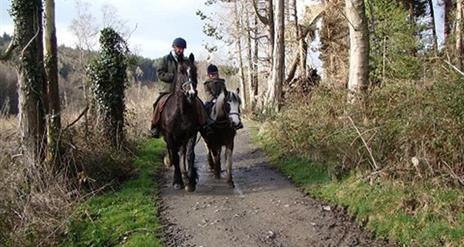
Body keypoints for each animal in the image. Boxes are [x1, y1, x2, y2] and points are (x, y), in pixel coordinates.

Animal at [158, 54, 199, 192]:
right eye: (181, 71)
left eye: (195, 71)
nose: (191, 94)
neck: (181, 110)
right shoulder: (170, 135)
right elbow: (175, 156)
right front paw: (177, 181)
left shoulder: (190, 133)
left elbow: (188, 154)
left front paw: (190, 182)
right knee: (172, 151)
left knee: (182, 151)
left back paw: (185, 173)